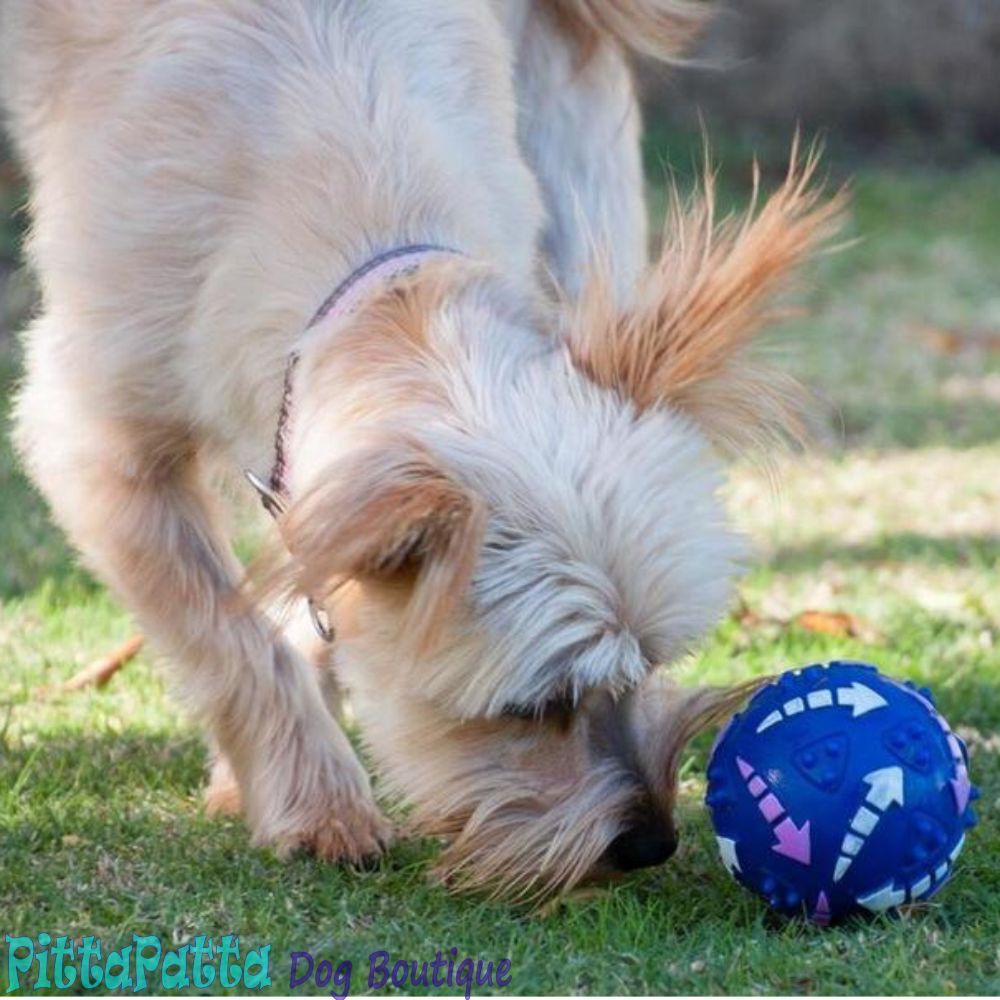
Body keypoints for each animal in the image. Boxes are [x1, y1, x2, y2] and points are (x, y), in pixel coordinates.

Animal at [1, 0, 844, 900]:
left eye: (650, 665)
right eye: (531, 708)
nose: (651, 842)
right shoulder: (97, 438)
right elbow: (230, 637)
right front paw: (316, 800)